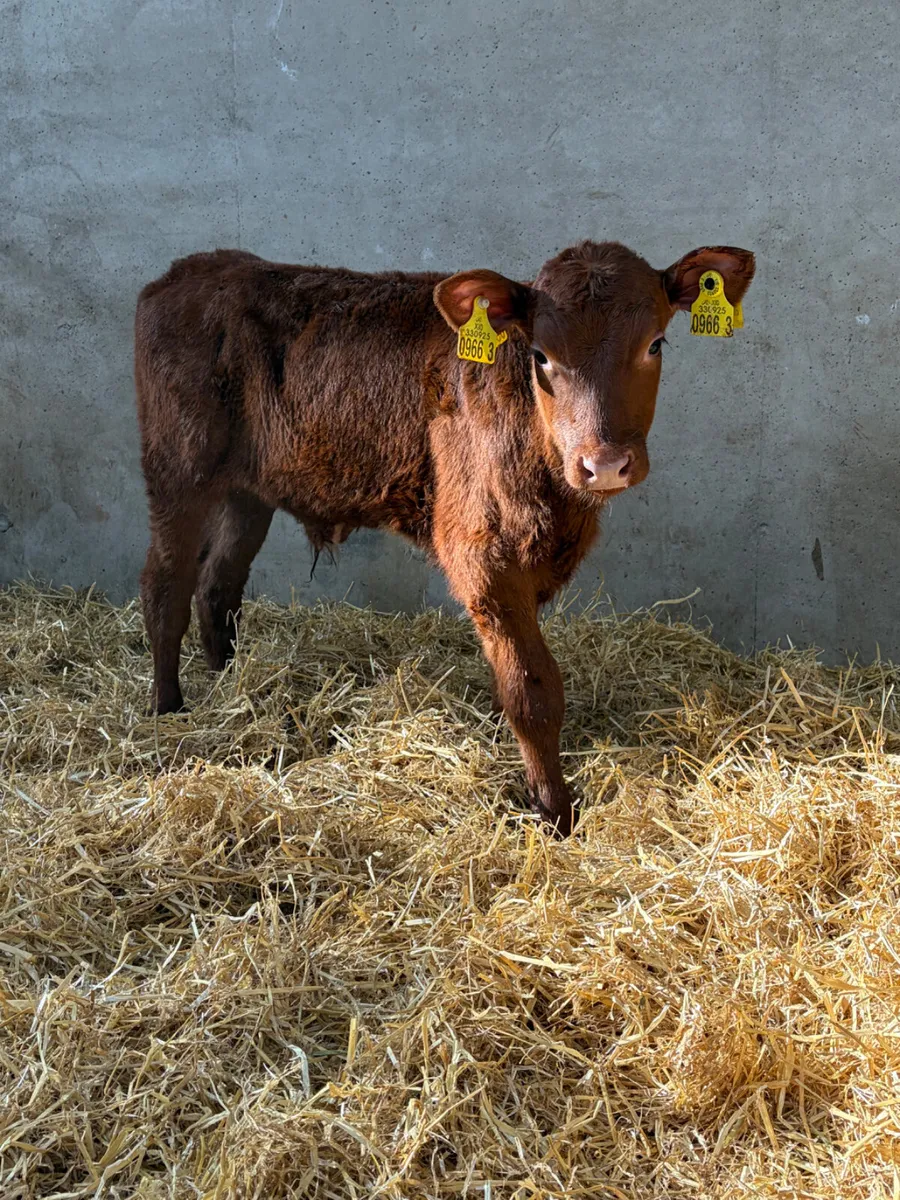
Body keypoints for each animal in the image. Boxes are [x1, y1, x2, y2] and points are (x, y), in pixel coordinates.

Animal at [135, 240, 755, 836]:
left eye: (656, 344)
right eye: (540, 356)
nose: (603, 465)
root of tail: (188, 272)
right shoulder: (482, 555)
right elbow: (531, 691)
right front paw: (556, 815)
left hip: (248, 491)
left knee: (218, 586)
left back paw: (230, 686)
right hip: (178, 469)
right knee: (166, 586)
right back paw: (170, 711)